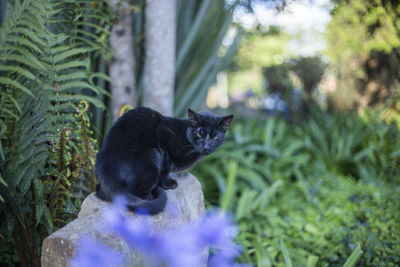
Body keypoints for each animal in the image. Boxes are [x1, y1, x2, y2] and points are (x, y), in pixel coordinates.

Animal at [95, 107, 233, 216]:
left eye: (215, 137)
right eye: (199, 134)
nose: (206, 146)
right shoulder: (163, 136)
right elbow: (166, 168)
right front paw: (168, 183)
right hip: (152, 156)